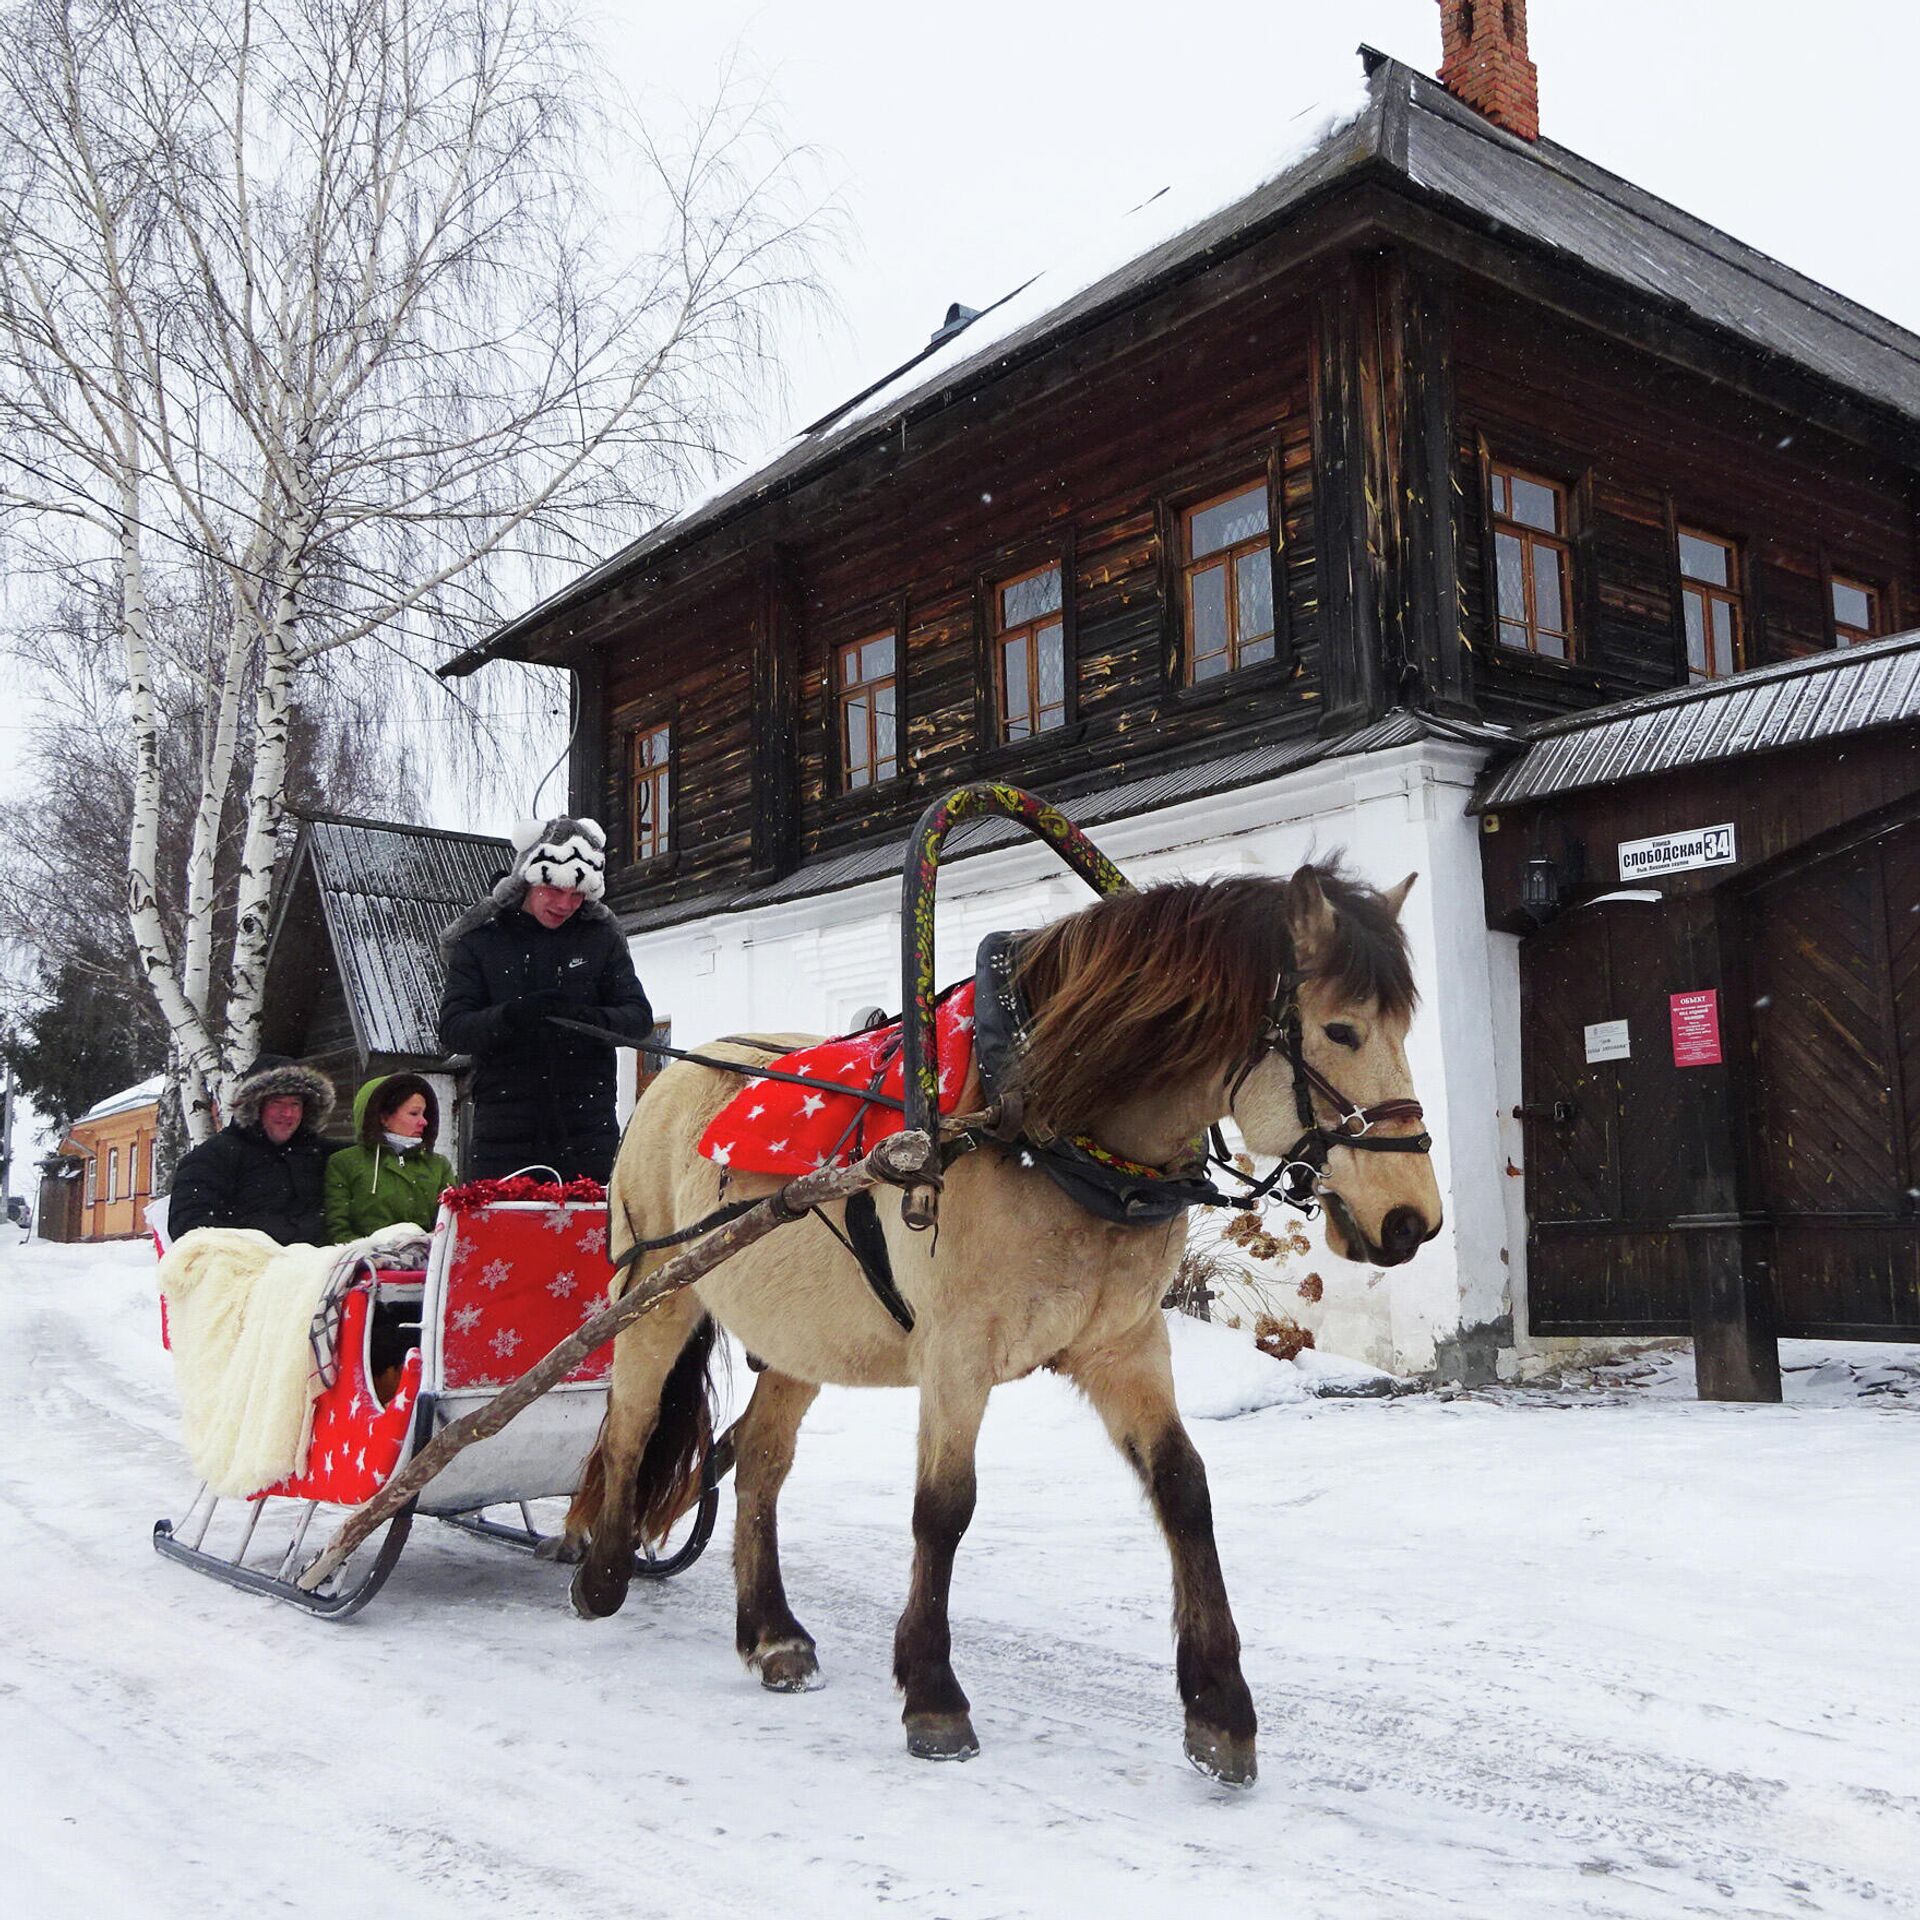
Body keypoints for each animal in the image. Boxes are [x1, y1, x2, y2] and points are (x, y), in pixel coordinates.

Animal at [564, 867, 1443, 1781]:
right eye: (1341, 1029)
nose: (1412, 1220)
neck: (1042, 1130)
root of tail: (668, 1082)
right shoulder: (958, 1353)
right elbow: (944, 1507)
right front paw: (932, 1693)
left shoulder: (1125, 1344)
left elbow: (1184, 1489)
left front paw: (1219, 1706)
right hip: (657, 1294)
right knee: (629, 1428)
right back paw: (603, 1572)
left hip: (801, 1337)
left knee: (762, 1461)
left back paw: (771, 1633)